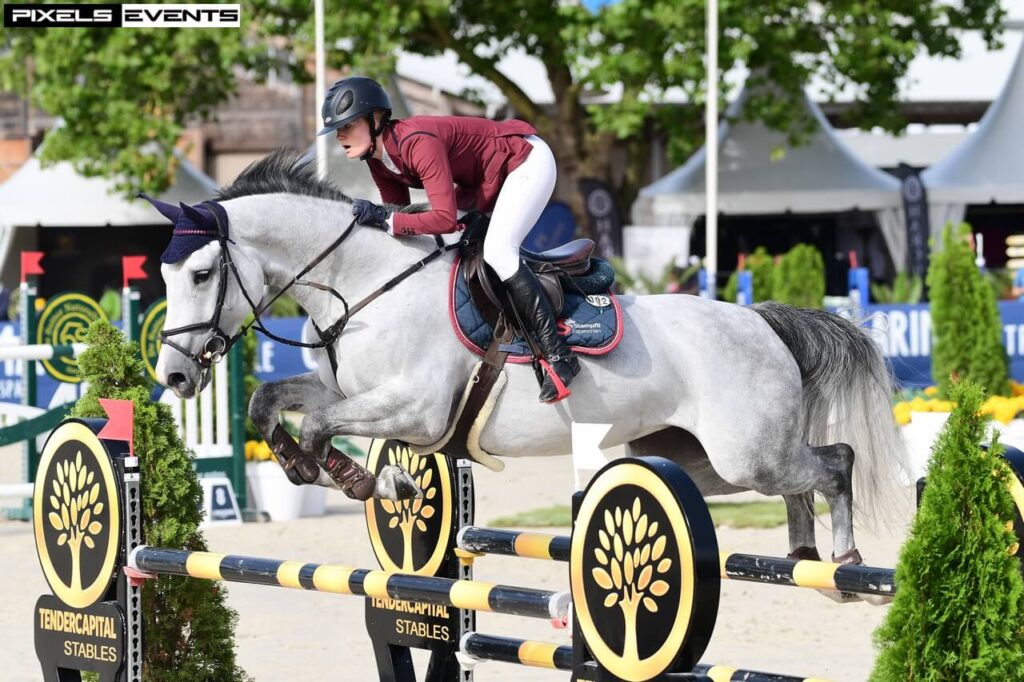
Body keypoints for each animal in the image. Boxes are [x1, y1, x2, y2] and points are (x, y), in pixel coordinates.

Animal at [149, 148, 905, 569]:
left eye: (201, 274)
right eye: (161, 274)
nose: (176, 376)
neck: (364, 282)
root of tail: (761, 321)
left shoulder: (418, 412)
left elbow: (320, 426)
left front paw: (372, 481)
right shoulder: (347, 390)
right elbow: (270, 403)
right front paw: (324, 472)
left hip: (745, 453)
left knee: (833, 463)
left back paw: (843, 557)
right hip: (700, 461)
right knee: (798, 482)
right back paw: (803, 555)